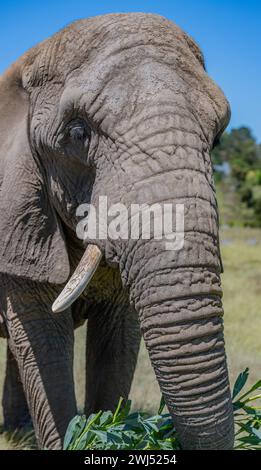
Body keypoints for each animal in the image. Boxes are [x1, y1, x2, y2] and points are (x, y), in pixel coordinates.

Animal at [0, 12, 234, 450]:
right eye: (77, 134)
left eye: (217, 137)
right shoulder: (17, 215)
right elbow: (45, 339)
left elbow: (117, 342)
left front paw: (108, 428)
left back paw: (18, 433)